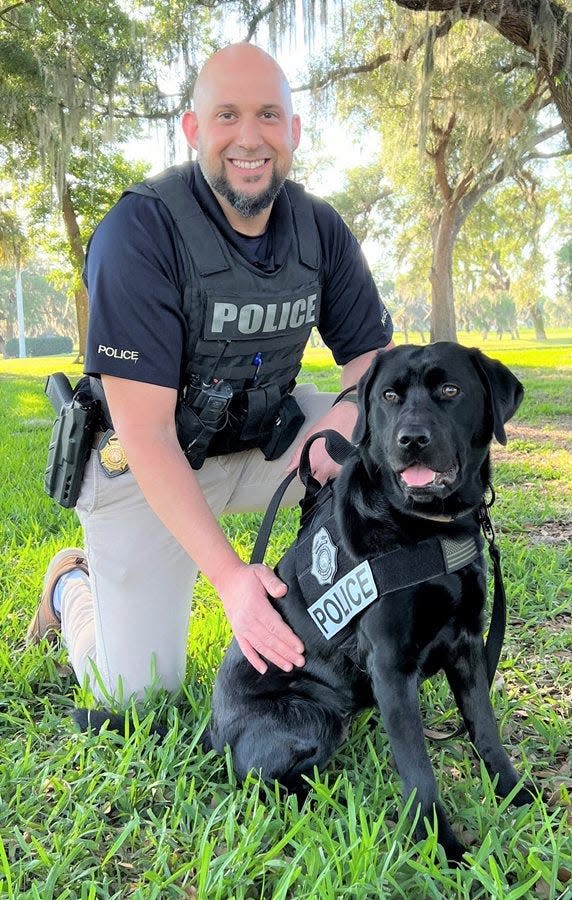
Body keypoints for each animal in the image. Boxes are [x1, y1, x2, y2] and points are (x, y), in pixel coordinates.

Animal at [206, 342, 532, 860]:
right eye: (389, 396)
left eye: (450, 390)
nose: (411, 440)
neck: (425, 530)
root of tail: (214, 731)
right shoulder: (391, 665)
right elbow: (418, 767)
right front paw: (442, 847)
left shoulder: (467, 644)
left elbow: (485, 728)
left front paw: (515, 794)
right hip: (312, 717)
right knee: (261, 783)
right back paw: (324, 803)